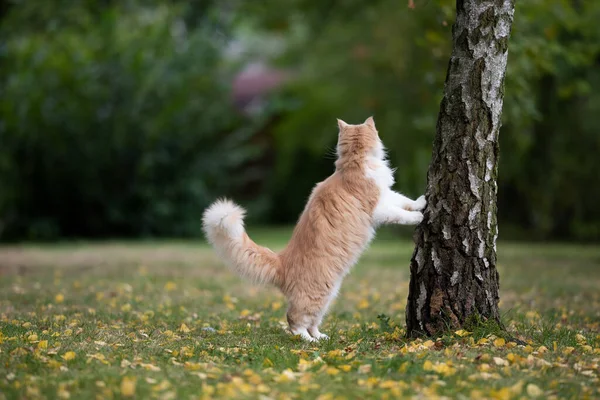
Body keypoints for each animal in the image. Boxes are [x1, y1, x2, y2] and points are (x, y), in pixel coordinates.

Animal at [203, 116, 426, 340]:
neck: (354, 161)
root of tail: (281, 260)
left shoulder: (387, 195)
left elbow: (404, 200)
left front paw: (421, 201)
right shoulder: (379, 207)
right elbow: (400, 213)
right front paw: (419, 216)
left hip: (329, 295)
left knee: (313, 322)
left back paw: (320, 337)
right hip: (315, 296)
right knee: (295, 322)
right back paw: (308, 340)